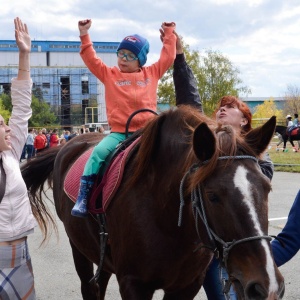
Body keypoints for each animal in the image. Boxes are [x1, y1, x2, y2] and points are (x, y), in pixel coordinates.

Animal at [22, 106, 284, 298]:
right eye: (213, 195)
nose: (266, 284)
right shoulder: (133, 284)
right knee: (90, 287)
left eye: (267, 187)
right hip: (78, 247)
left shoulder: (187, 286)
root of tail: (67, 145)